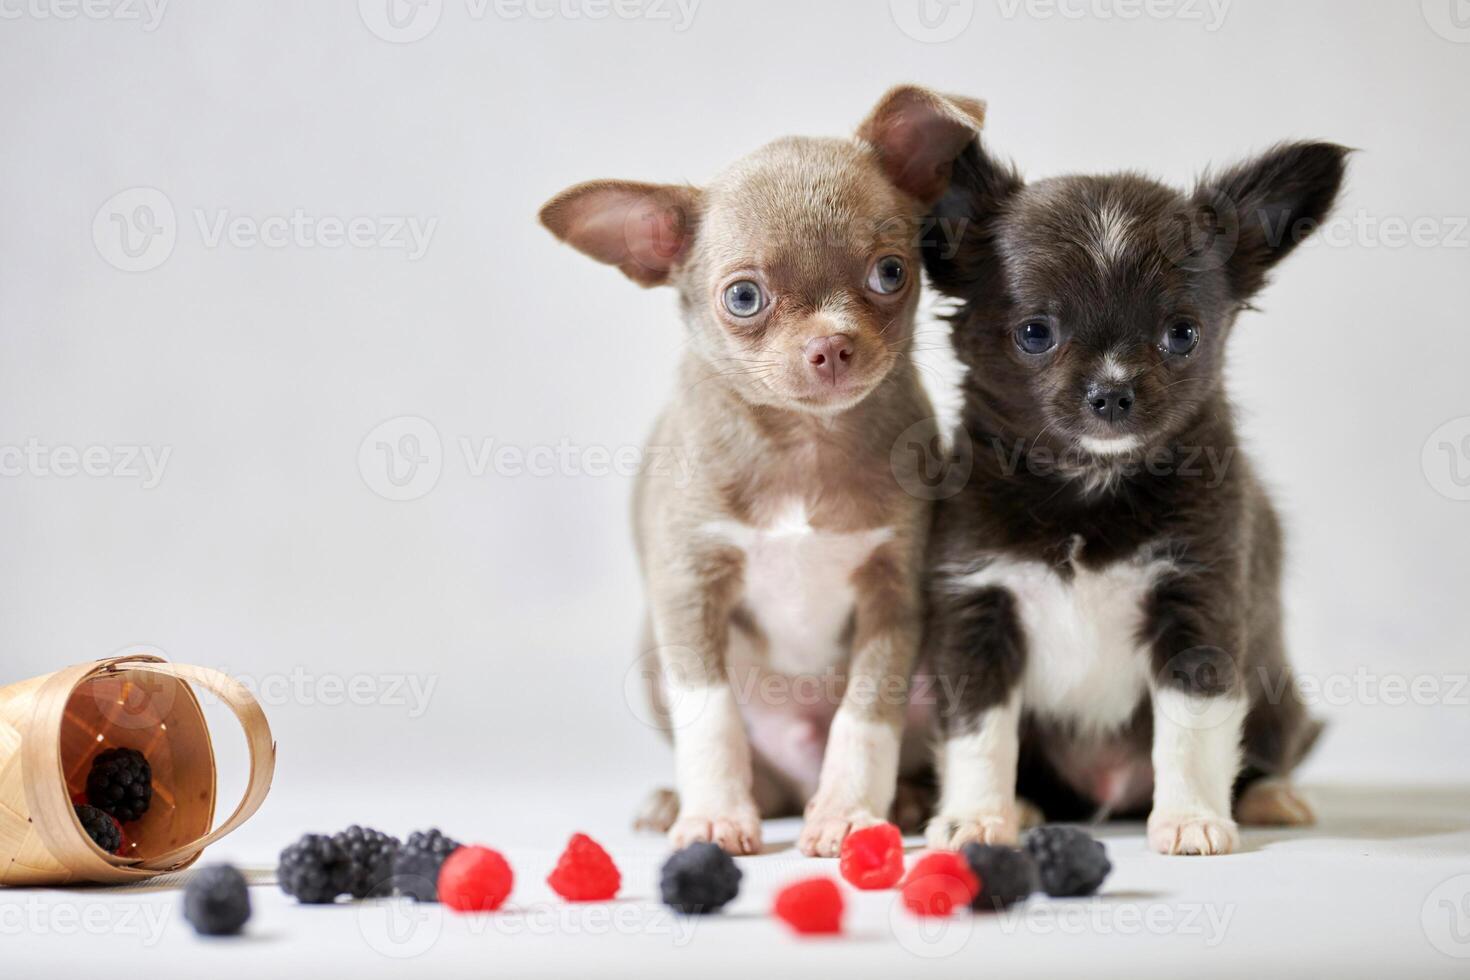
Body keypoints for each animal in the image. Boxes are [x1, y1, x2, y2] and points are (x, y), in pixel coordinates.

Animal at [540, 88, 987, 852]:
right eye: (744, 298)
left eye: (890, 273)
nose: (830, 346)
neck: (805, 446)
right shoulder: (689, 590)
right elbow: (710, 717)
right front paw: (714, 814)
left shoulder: (894, 600)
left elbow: (866, 716)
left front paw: (848, 811)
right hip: (656, 654)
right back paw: (677, 801)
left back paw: (900, 799)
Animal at [923, 134, 1346, 852]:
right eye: (1035, 333)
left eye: (1182, 335)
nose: (1112, 393)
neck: (1090, 487)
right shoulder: (977, 612)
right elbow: (980, 734)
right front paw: (977, 816)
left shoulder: (1197, 605)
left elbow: (1189, 731)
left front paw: (1191, 819)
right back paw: (1025, 805)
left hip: (1277, 698)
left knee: (1266, 748)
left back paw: (1269, 795)